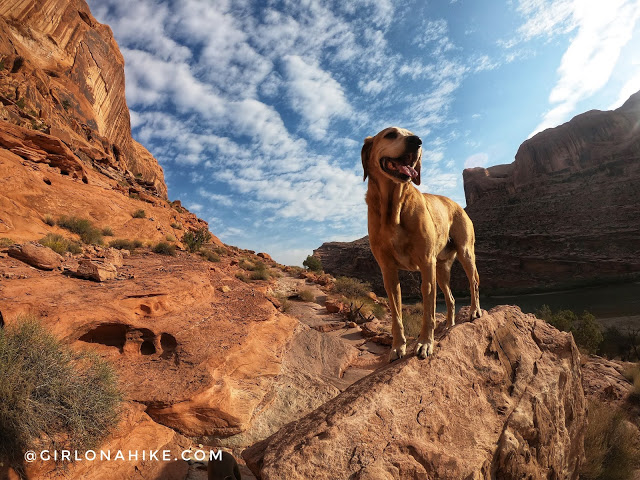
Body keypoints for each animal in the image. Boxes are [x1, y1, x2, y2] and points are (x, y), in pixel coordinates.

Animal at [362, 126, 482, 360]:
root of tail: (456, 204)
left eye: (411, 133)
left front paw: (425, 343)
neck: (394, 208)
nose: (417, 141)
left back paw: (474, 311)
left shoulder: (426, 264)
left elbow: (428, 312)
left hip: (465, 253)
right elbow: (396, 314)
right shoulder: (388, 270)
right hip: (442, 269)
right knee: (451, 298)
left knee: (473, 282)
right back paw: (449, 326)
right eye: (390, 134)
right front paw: (397, 347)